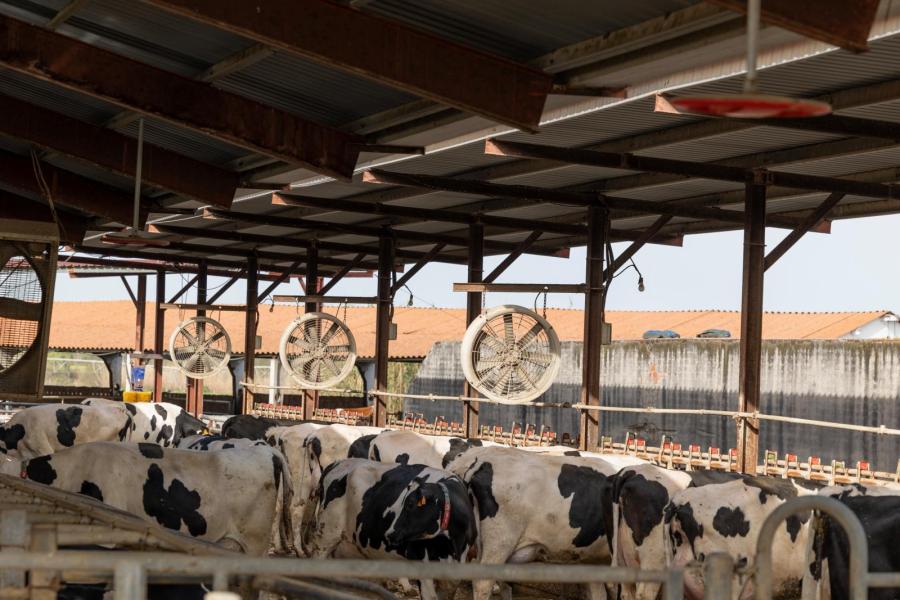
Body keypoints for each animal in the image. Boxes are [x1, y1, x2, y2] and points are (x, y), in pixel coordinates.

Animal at [308, 460, 478, 600]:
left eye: (410, 504)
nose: (390, 534)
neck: (452, 546)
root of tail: (336, 463)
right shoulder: (424, 568)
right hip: (326, 533)